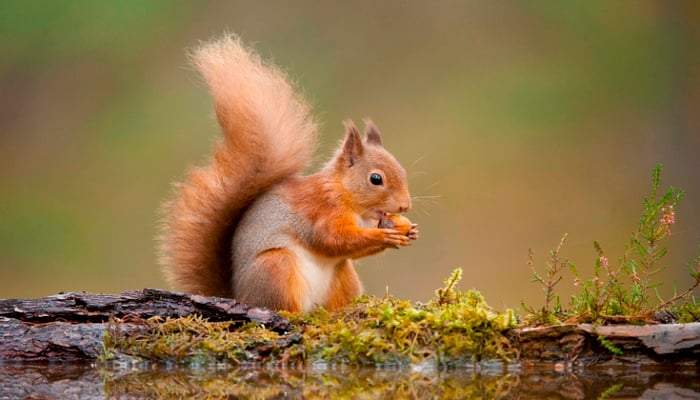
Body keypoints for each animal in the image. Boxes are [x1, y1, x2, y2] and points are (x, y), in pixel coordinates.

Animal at [159, 36, 418, 312]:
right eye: (376, 179)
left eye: (402, 170)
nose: (405, 206)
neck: (344, 193)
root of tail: (241, 296)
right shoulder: (321, 210)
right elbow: (331, 239)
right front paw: (383, 235)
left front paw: (410, 231)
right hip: (276, 267)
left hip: (343, 275)